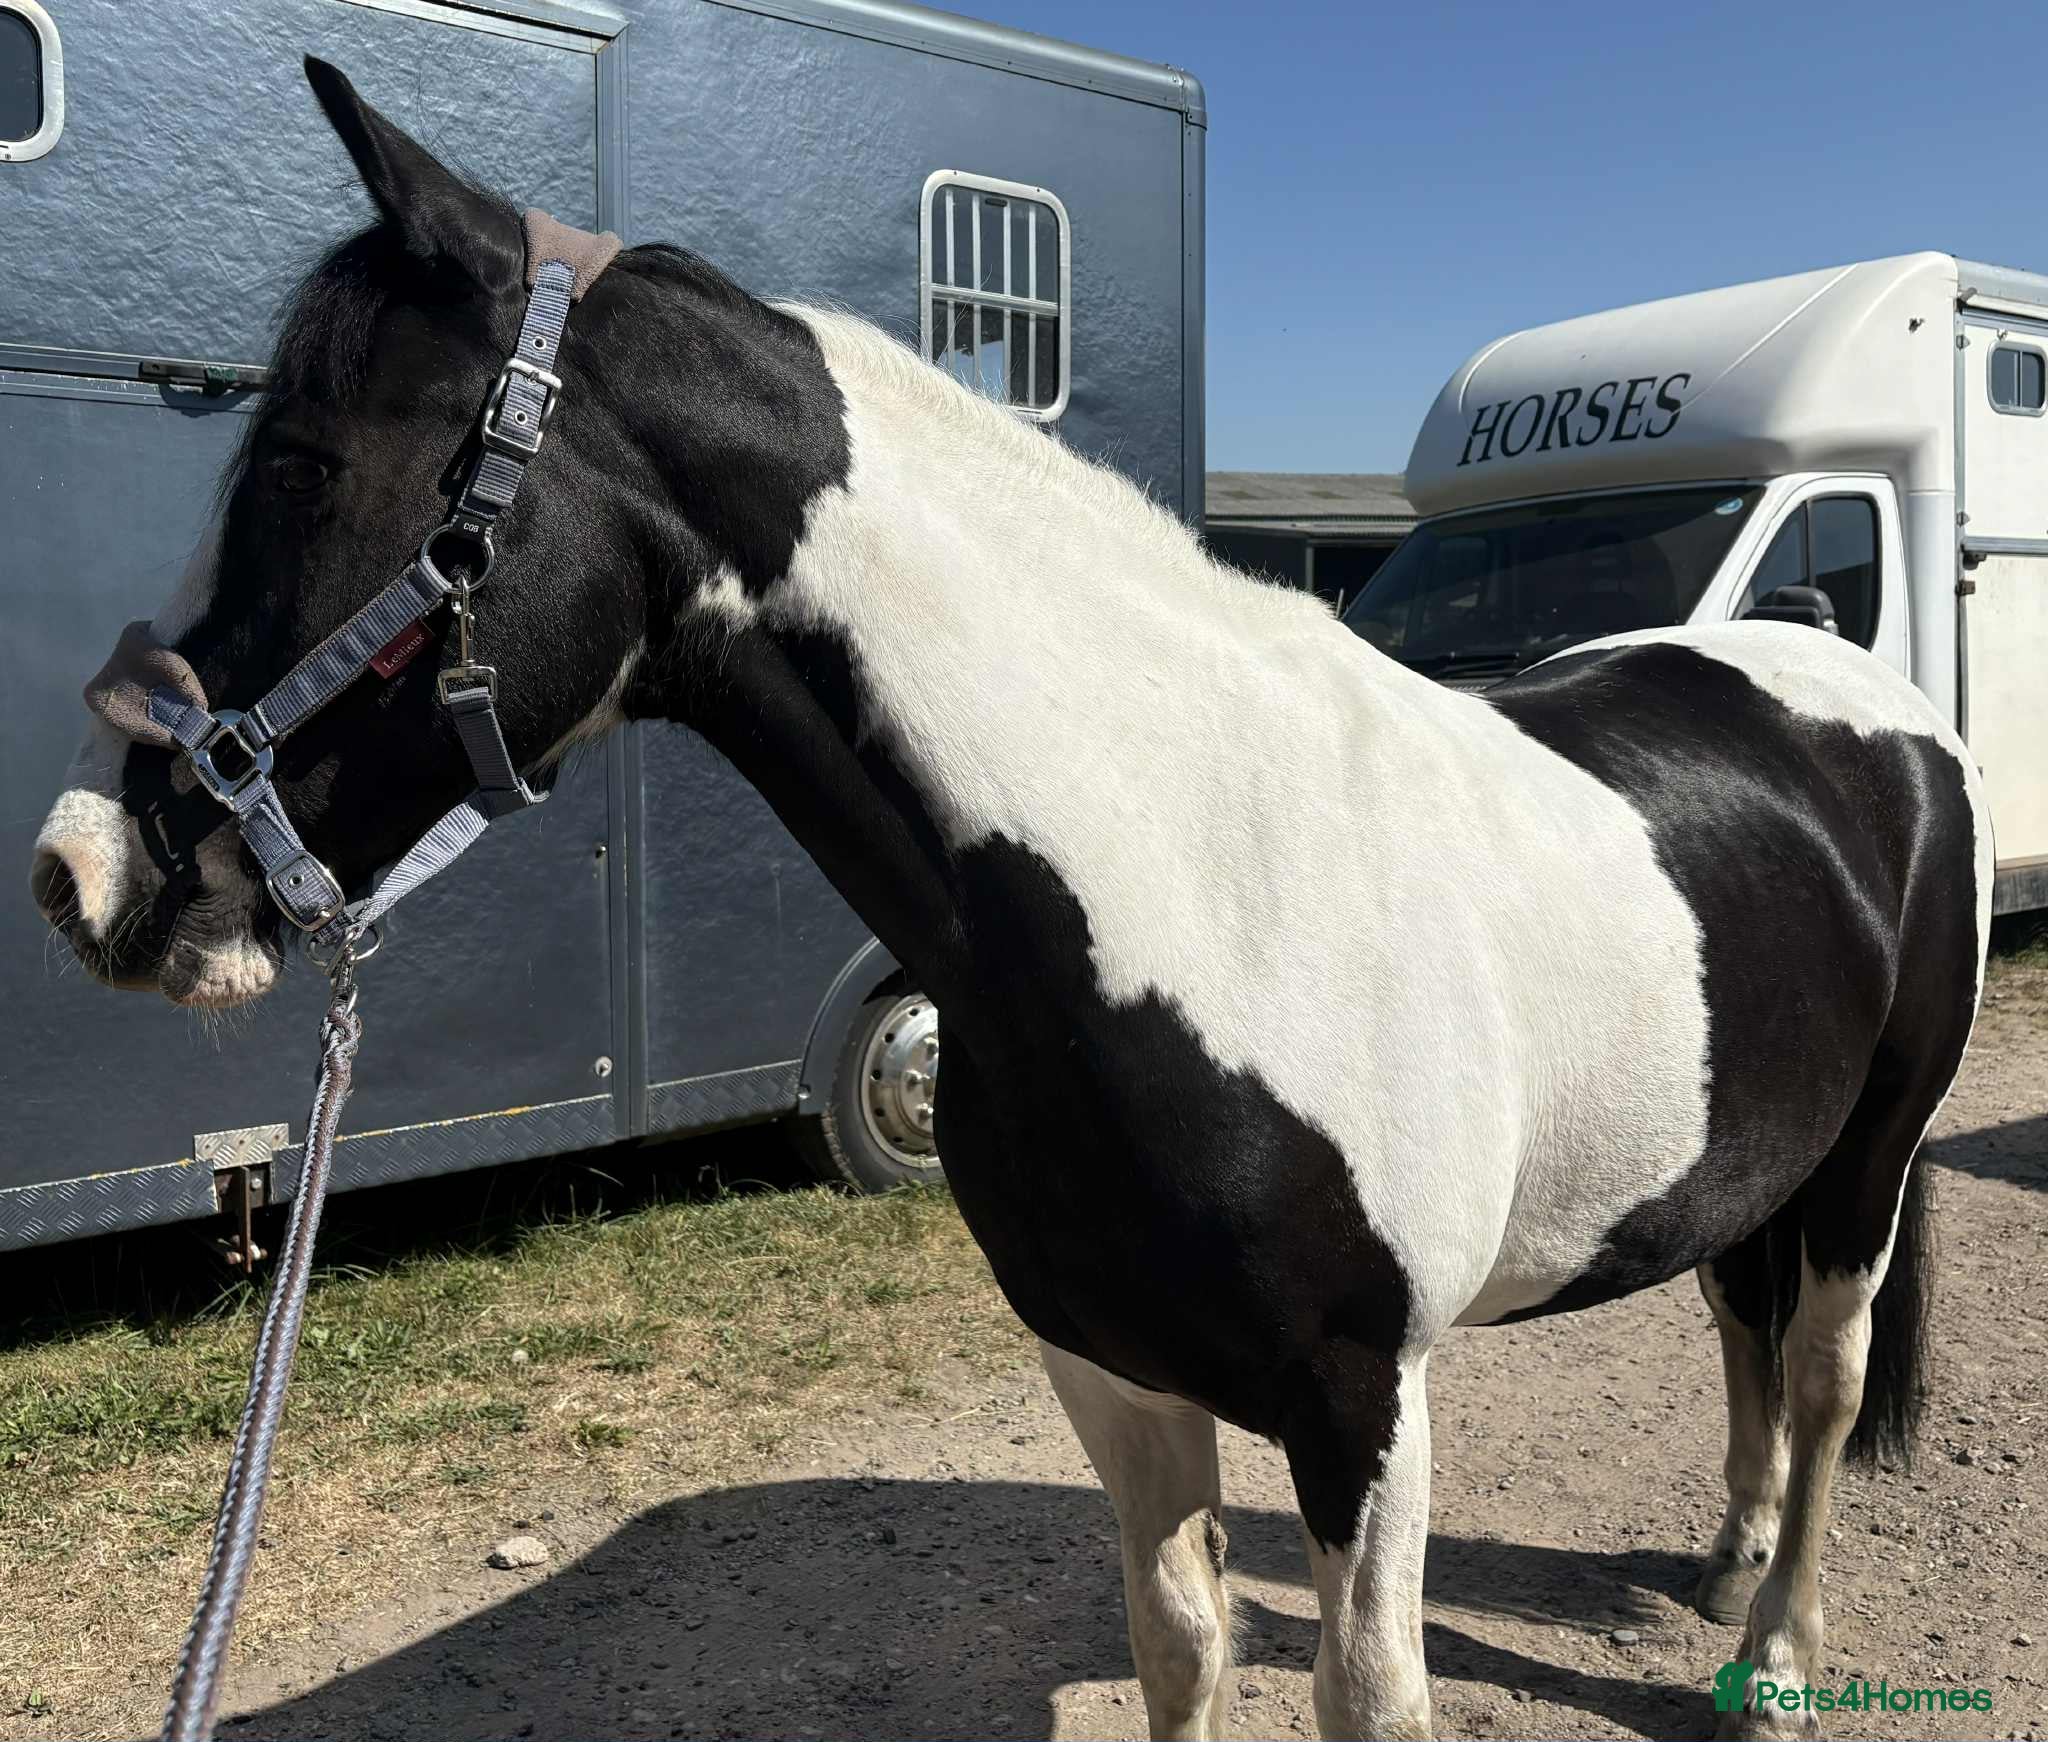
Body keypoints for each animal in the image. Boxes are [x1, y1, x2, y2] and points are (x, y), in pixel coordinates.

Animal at [30, 60, 1991, 1741]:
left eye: (301, 463)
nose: (84, 867)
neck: (1189, 889)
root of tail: (1867, 701)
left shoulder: (1367, 1404)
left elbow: (1368, 1691)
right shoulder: (1111, 1369)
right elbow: (1181, 1641)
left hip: (1870, 1161)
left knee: (1819, 1378)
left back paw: (1777, 1659)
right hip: (1740, 1157)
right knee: (1735, 1320)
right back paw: (1723, 1561)